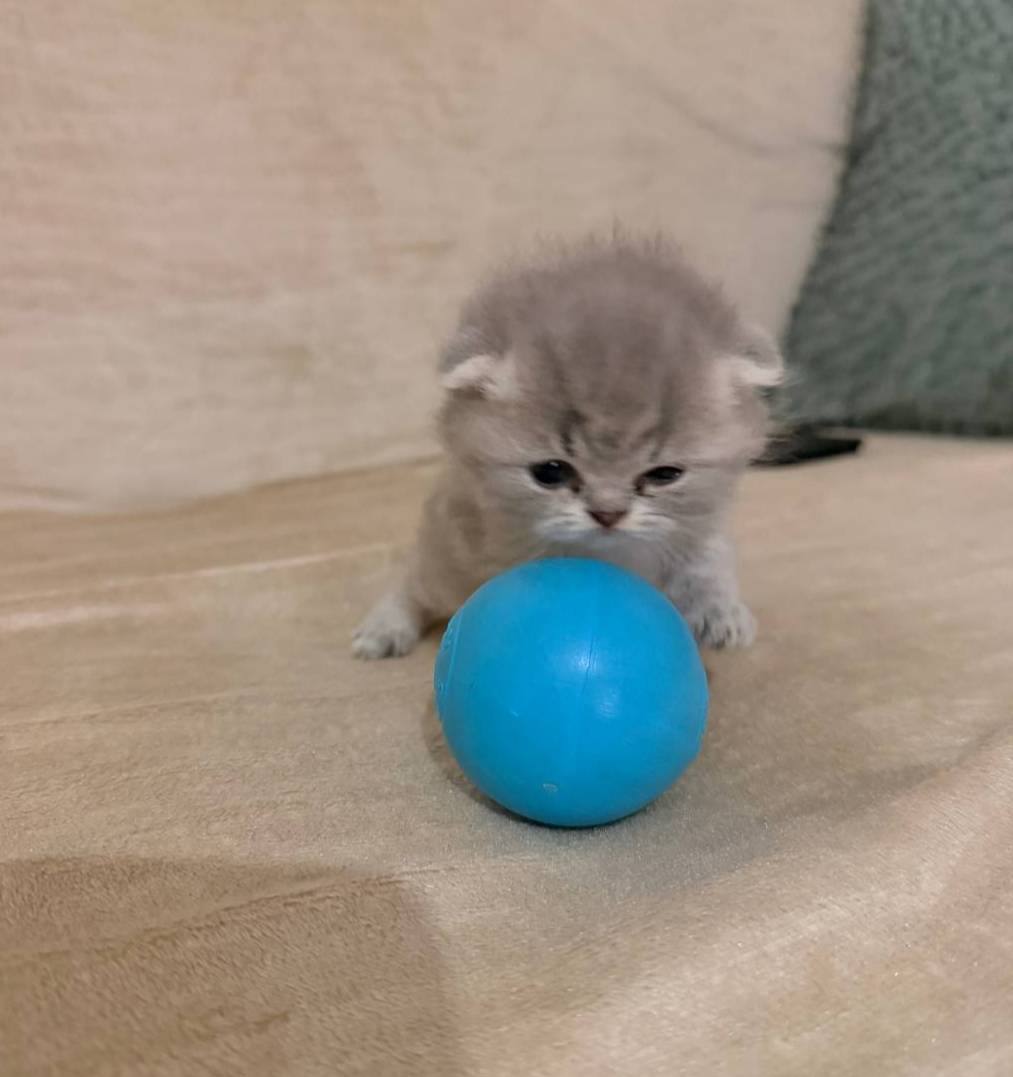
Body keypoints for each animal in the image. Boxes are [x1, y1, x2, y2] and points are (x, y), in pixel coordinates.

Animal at [353, 234, 782, 659]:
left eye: (664, 474)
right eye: (551, 472)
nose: (608, 514)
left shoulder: (699, 527)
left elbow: (708, 561)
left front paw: (720, 612)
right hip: (449, 556)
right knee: (415, 582)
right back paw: (384, 629)